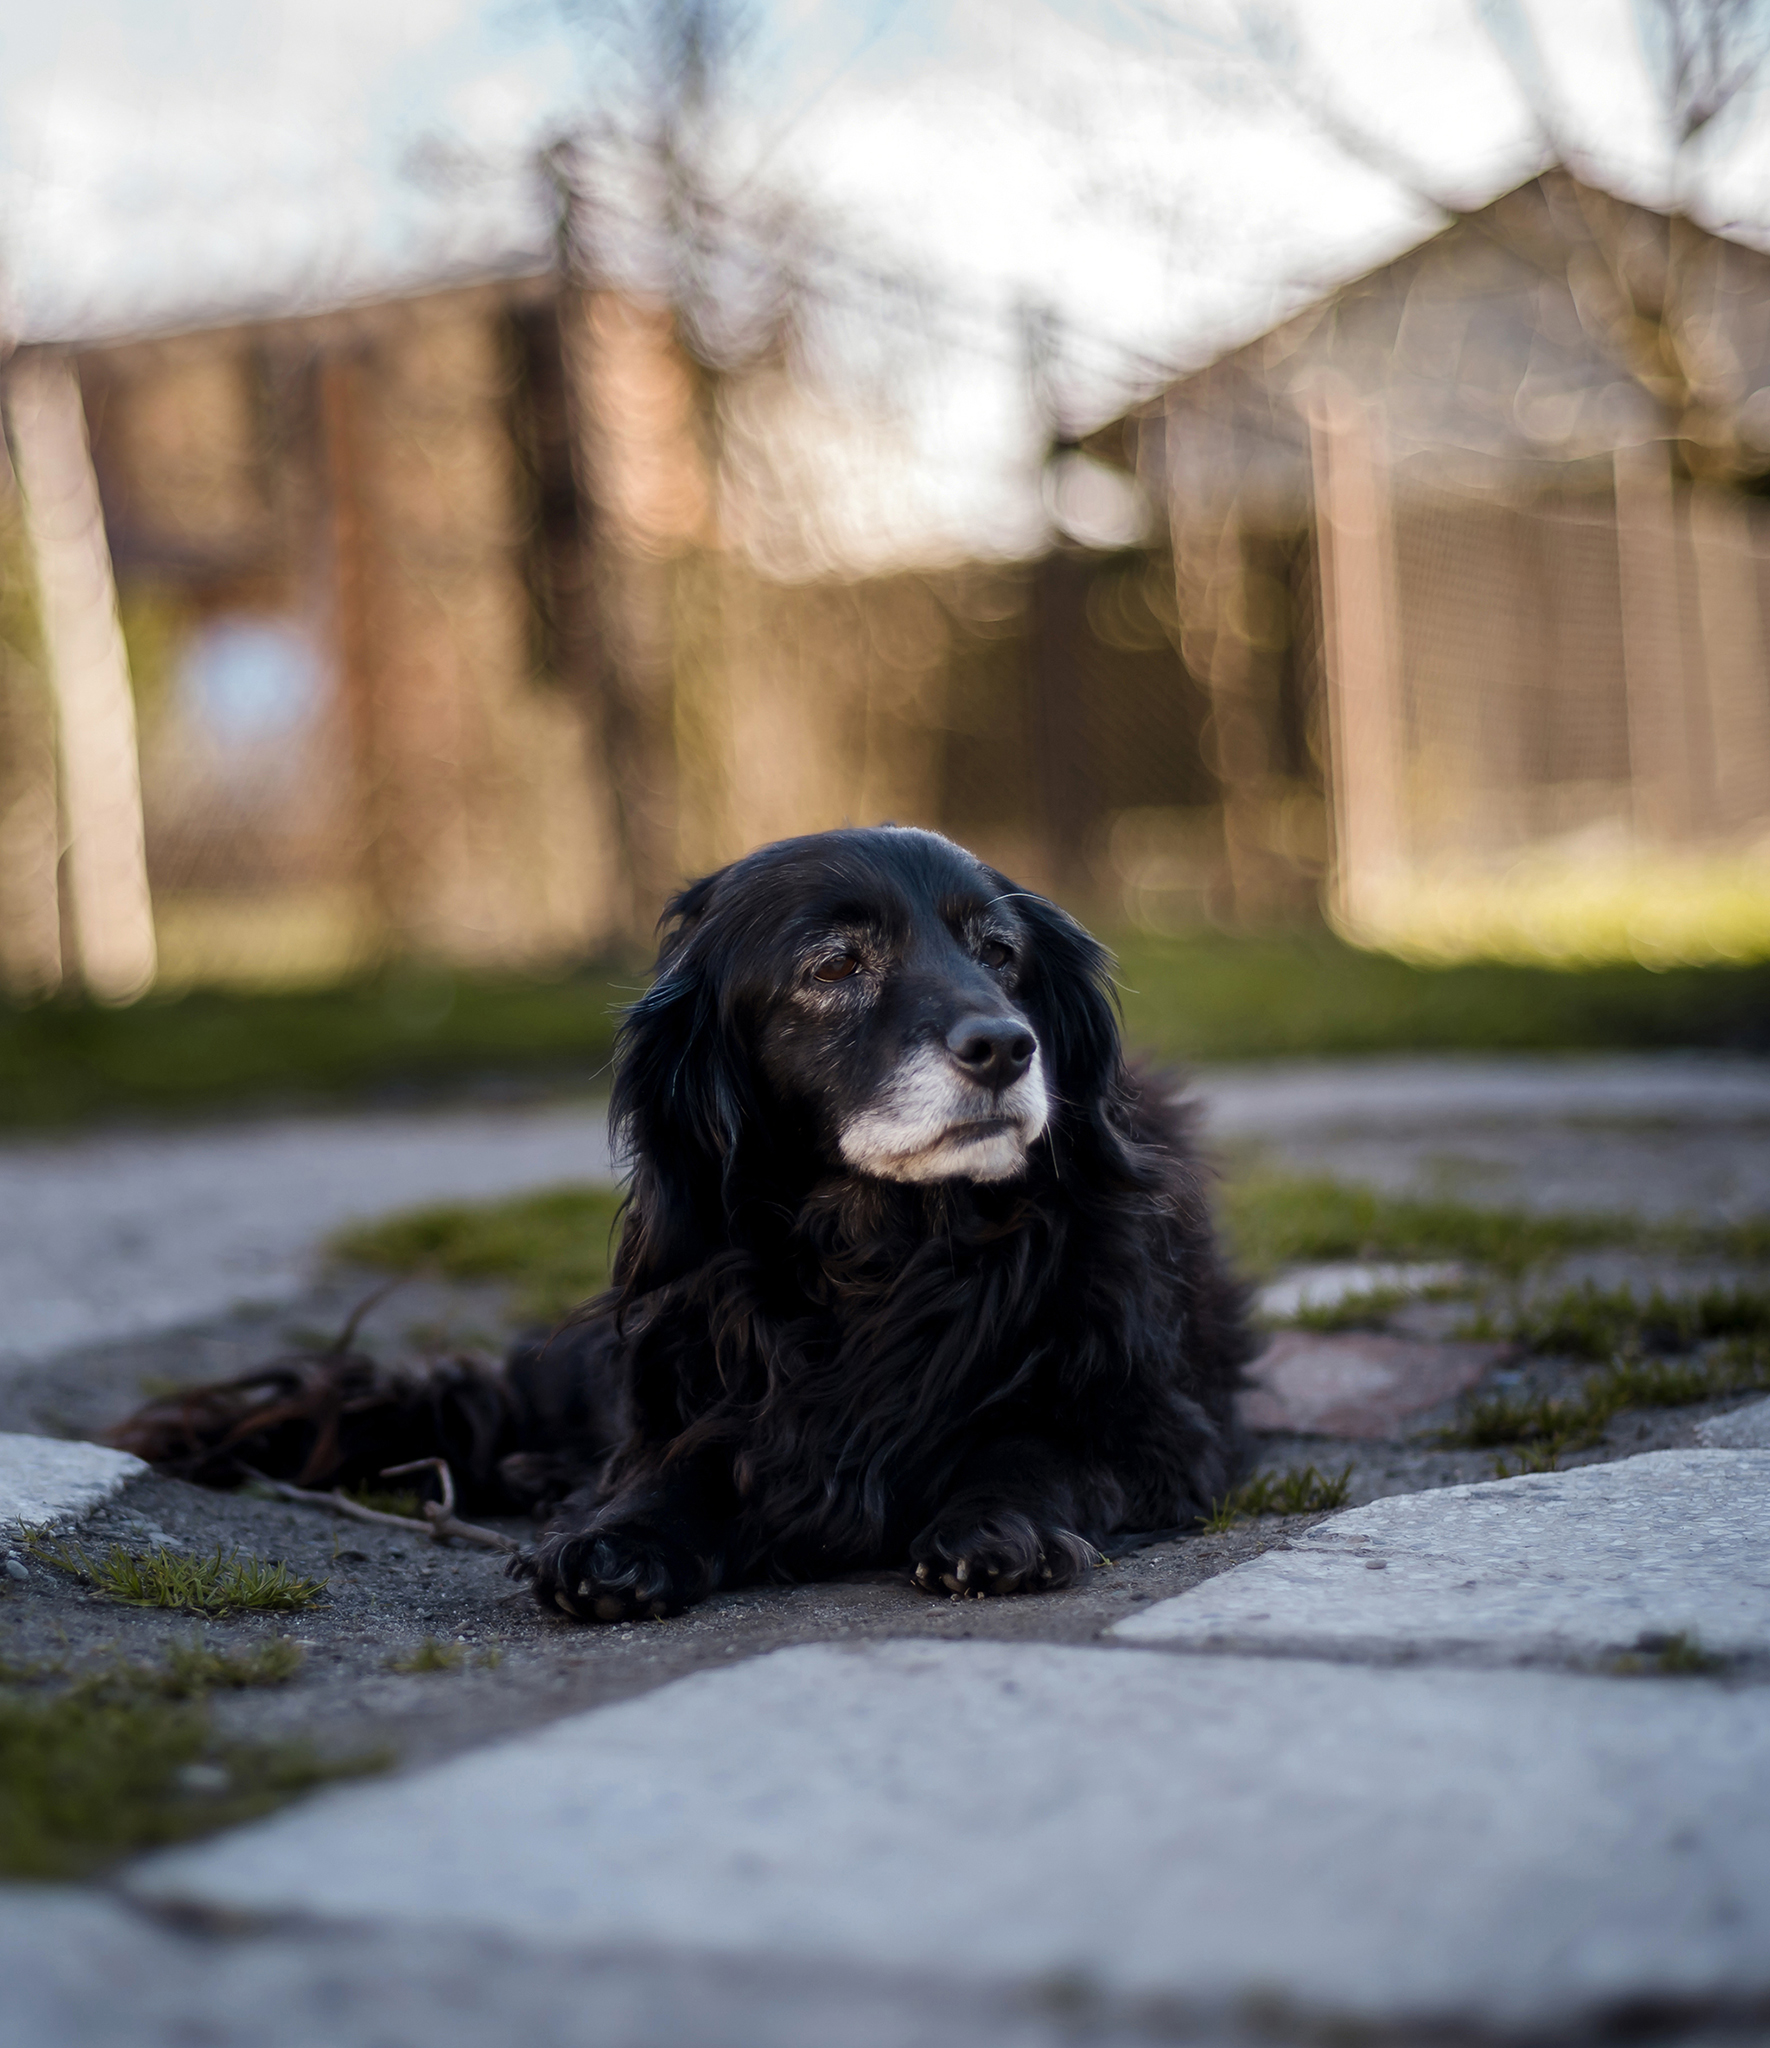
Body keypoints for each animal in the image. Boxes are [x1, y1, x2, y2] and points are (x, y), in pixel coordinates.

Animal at [116, 826, 1252, 1619]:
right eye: (834, 966)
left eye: (1002, 952)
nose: (1008, 1046)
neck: (884, 1247)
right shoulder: (704, 1372)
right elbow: (681, 1463)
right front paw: (617, 1538)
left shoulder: (1149, 1420)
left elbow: (1030, 1446)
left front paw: (999, 1522)